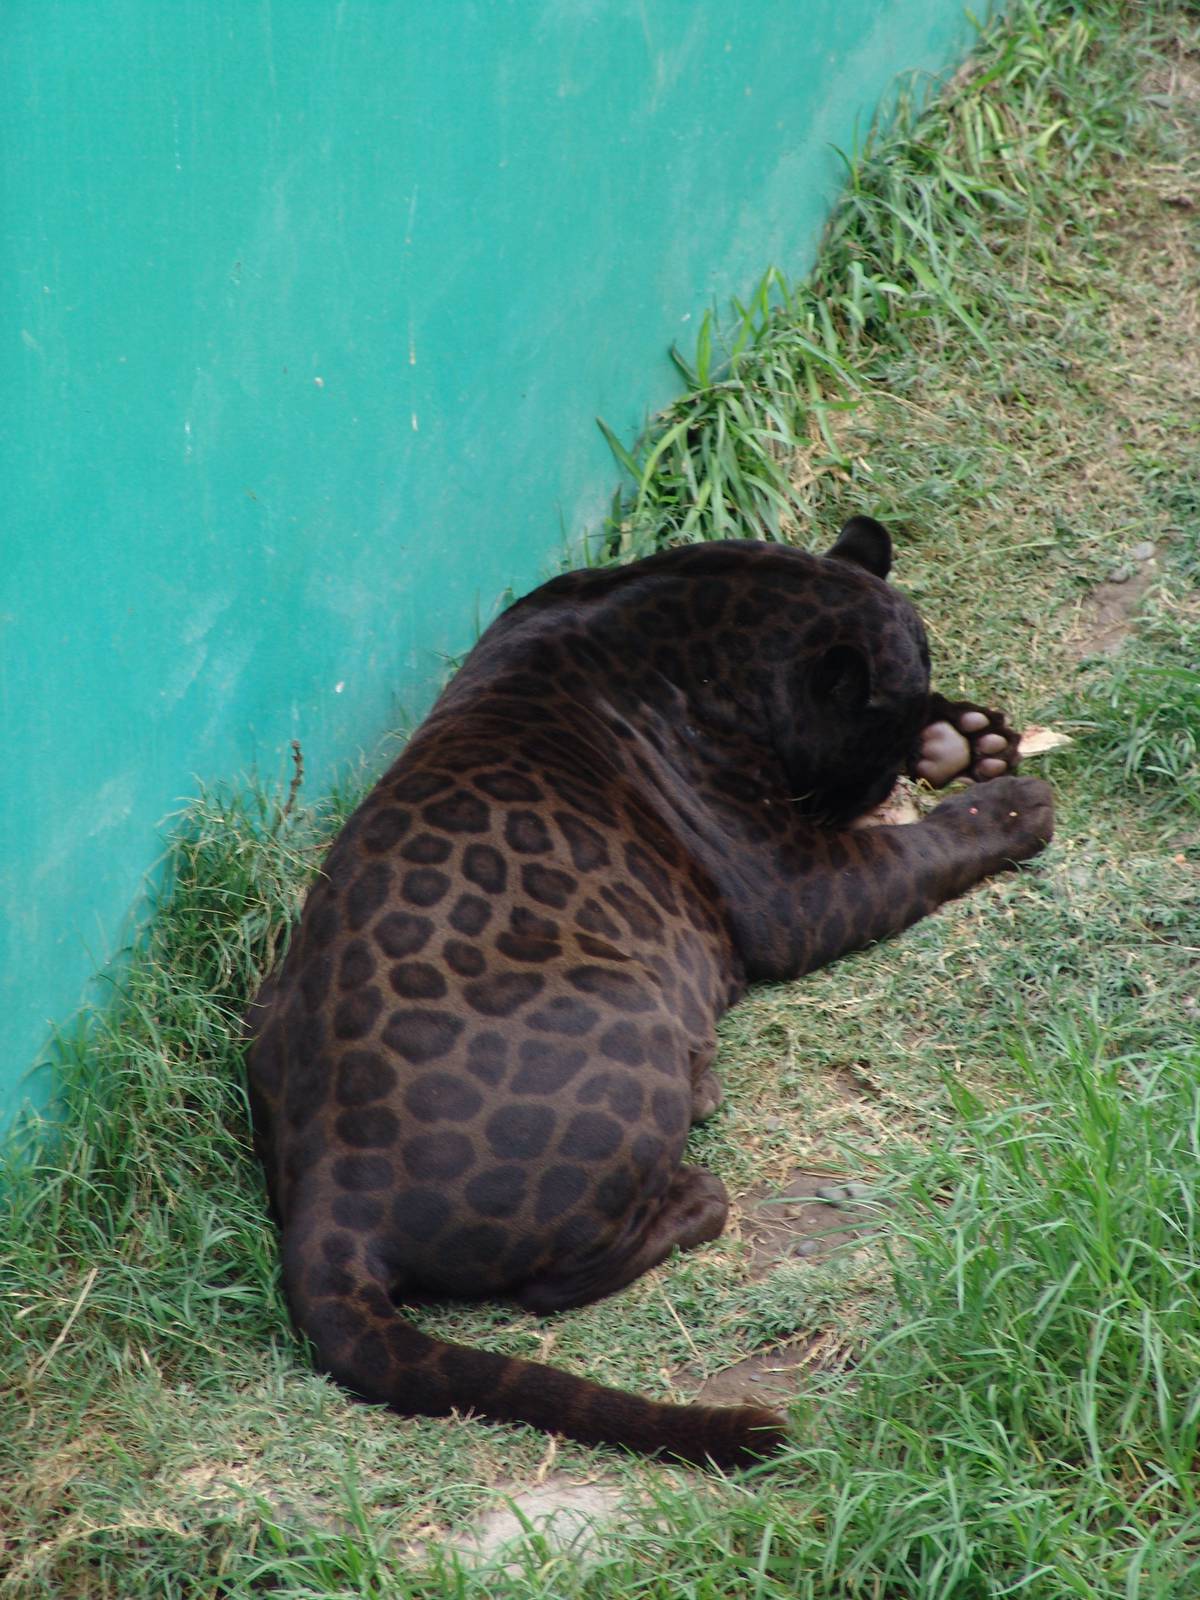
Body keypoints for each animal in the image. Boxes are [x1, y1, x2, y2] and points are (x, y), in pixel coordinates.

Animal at [245, 516, 1053, 1470]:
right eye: (874, 742)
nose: (887, 778)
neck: (698, 617)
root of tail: (328, 1197)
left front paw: (967, 737)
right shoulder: (798, 885)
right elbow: (922, 848)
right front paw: (1012, 803)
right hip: (627, 1023)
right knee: (557, 1282)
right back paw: (699, 1185)